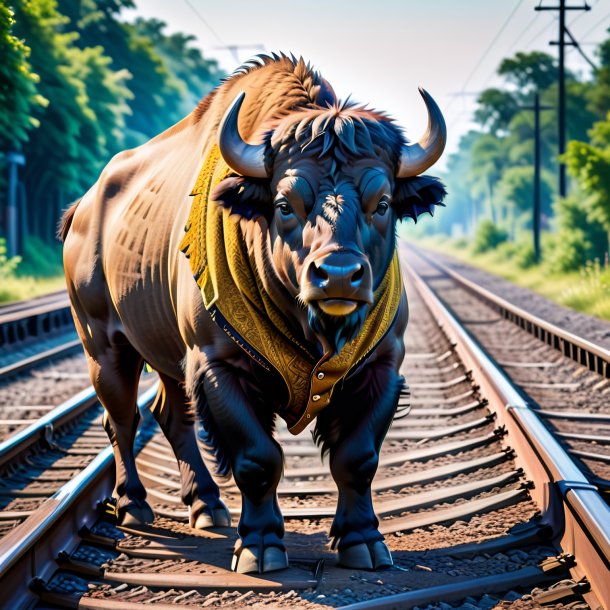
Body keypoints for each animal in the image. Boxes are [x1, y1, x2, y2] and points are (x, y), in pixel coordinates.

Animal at [59, 54, 444, 572]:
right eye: (284, 204)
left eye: (381, 203)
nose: (338, 275)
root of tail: (83, 208)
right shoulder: (218, 366)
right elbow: (258, 458)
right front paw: (260, 547)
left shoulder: (382, 365)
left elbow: (358, 458)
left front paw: (363, 541)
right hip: (103, 345)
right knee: (122, 420)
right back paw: (134, 504)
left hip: (168, 355)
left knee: (171, 415)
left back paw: (207, 504)